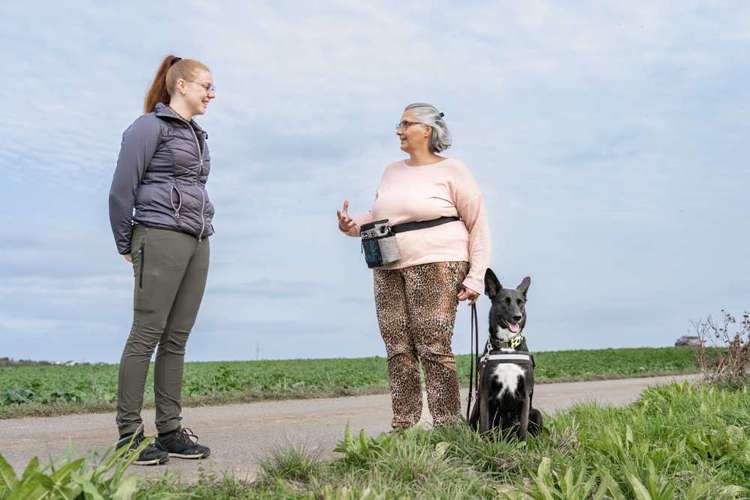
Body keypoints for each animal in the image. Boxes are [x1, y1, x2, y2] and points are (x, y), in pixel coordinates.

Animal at [472, 270, 544, 438]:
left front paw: (523, 444)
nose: (517, 317)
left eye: (520, 302)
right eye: (504, 302)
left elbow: (523, 428)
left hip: (536, 413)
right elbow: (484, 427)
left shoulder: (525, 394)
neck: (507, 345)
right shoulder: (484, 394)